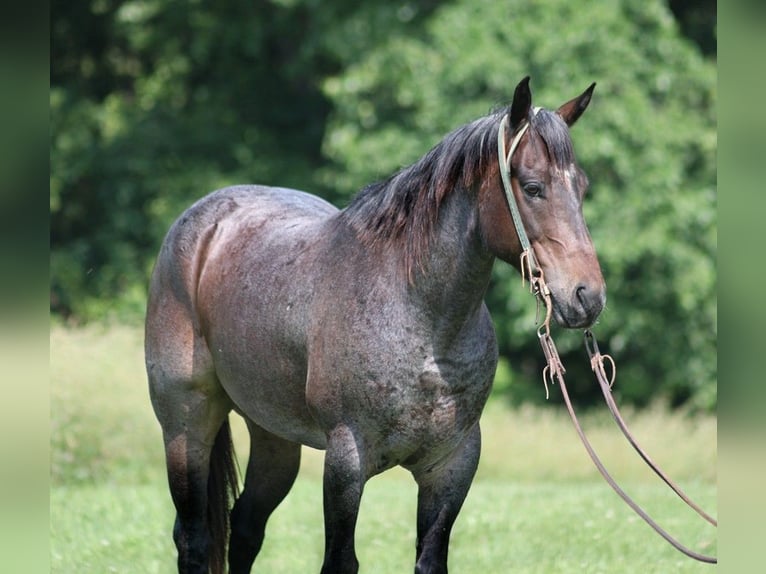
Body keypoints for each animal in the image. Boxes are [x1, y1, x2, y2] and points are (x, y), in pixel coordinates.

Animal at [145, 76, 606, 574]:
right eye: (534, 187)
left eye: (581, 186)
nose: (588, 296)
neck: (421, 321)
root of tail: (203, 224)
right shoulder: (347, 460)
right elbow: (340, 560)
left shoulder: (453, 464)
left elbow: (430, 559)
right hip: (187, 423)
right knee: (193, 539)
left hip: (273, 437)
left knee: (245, 528)